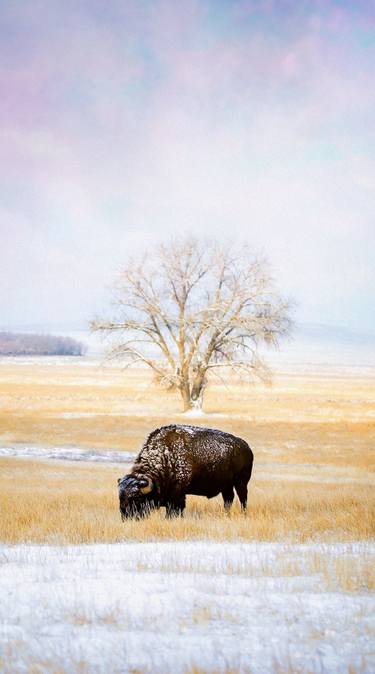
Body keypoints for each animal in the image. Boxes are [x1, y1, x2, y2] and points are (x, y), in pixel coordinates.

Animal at [118, 422, 253, 516]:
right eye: (120, 497)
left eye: (136, 498)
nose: (126, 516)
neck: (166, 456)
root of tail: (246, 447)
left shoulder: (177, 494)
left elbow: (174, 509)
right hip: (226, 485)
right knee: (228, 499)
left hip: (241, 483)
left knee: (242, 498)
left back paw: (243, 514)